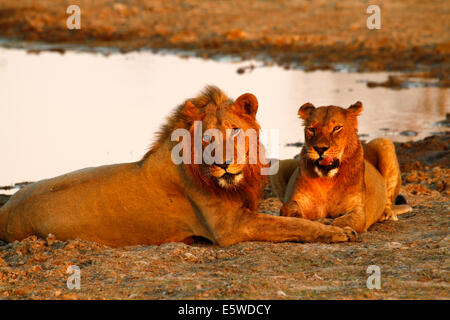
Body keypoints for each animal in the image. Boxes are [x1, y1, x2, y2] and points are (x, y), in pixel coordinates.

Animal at [0, 86, 358, 246]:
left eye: (234, 131)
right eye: (206, 138)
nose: (224, 164)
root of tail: (5, 210)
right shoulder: (229, 228)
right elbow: (291, 224)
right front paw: (336, 231)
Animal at [270, 102, 412, 232]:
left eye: (337, 128)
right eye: (311, 129)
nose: (320, 149)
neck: (327, 181)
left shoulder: (357, 210)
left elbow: (344, 221)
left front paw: (332, 226)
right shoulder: (298, 201)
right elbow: (288, 207)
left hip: (384, 142)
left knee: (388, 200)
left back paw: (386, 214)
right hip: (278, 164)